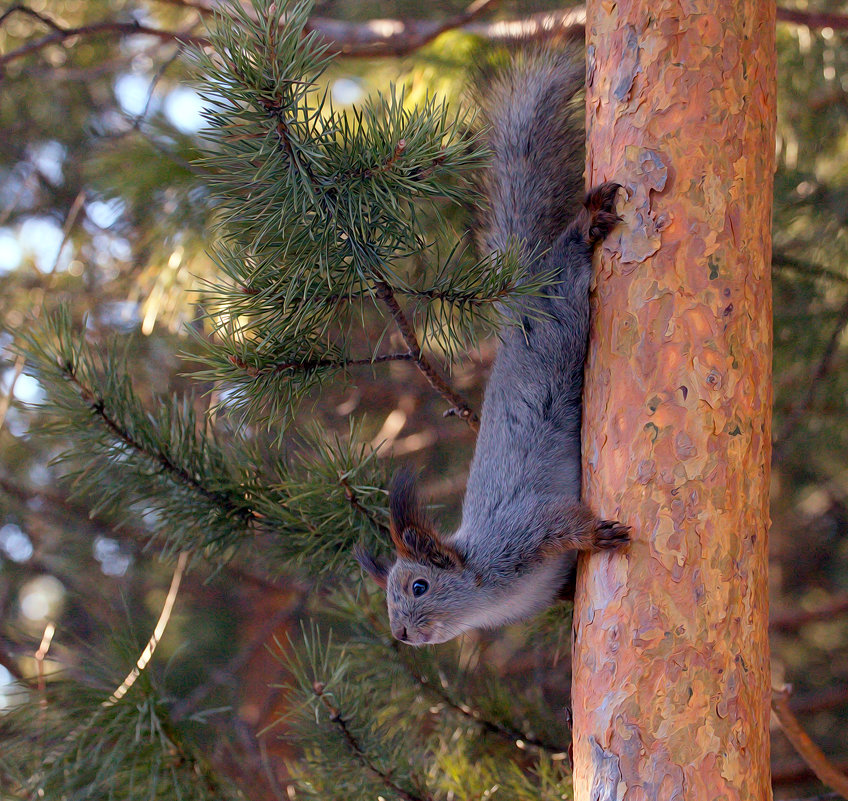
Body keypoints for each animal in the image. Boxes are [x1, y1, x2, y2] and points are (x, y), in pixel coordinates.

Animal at [354, 47, 628, 644]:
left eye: (419, 586)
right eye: (388, 600)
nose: (401, 634)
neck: (486, 589)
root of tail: (516, 293)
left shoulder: (521, 532)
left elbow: (564, 523)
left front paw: (597, 534)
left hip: (559, 321)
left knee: (566, 264)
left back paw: (585, 224)